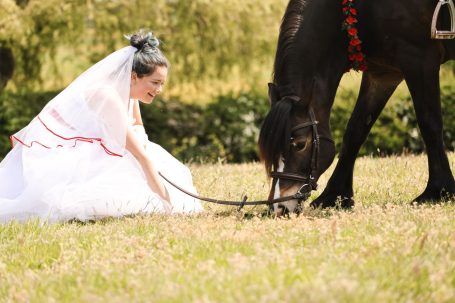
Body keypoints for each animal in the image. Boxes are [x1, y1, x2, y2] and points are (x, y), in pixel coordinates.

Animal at [260, 0, 455, 216]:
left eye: (300, 144)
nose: (278, 206)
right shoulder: (383, 74)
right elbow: (355, 131)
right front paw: (334, 195)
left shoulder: (420, 60)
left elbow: (429, 124)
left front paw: (438, 190)